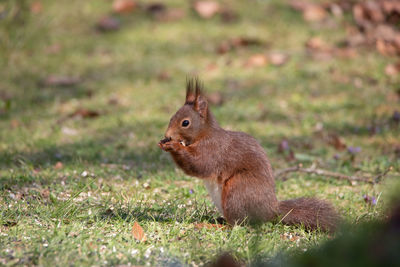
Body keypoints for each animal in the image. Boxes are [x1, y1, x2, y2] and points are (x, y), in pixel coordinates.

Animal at [158, 78, 340, 232]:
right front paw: (163, 143)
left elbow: (199, 164)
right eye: (171, 117)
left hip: (237, 191)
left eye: (185, 123)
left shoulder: (214, 149)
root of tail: (271, 211)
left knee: (237, 224)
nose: (167, 135)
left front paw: (173, 146)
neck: (204, 134)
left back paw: (214, 225)